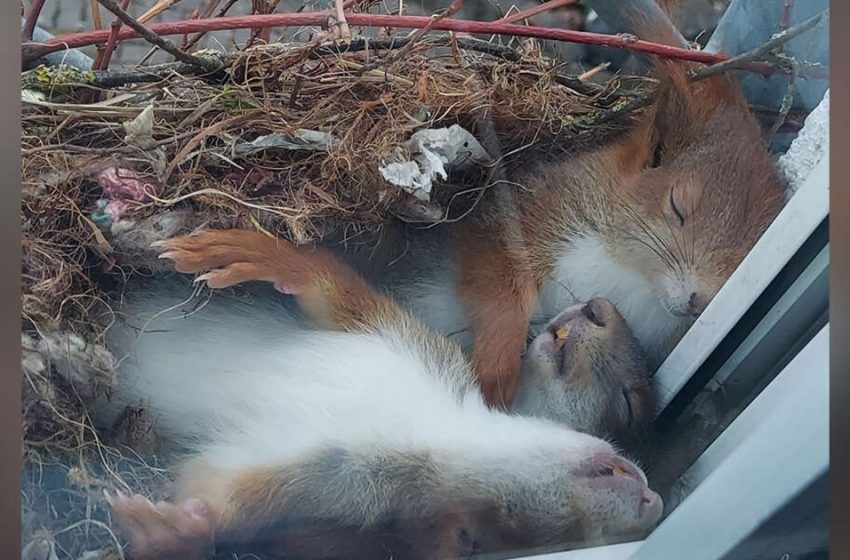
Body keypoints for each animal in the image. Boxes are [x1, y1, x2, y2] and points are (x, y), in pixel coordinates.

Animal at [97, 229, 656, 560]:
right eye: (628, 405)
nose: (654, 501)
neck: (438, 427)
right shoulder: (406, 341)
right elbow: (333, 291)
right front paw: (263, 253)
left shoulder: (323, 482)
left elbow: (224, 499)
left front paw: (173, 533)